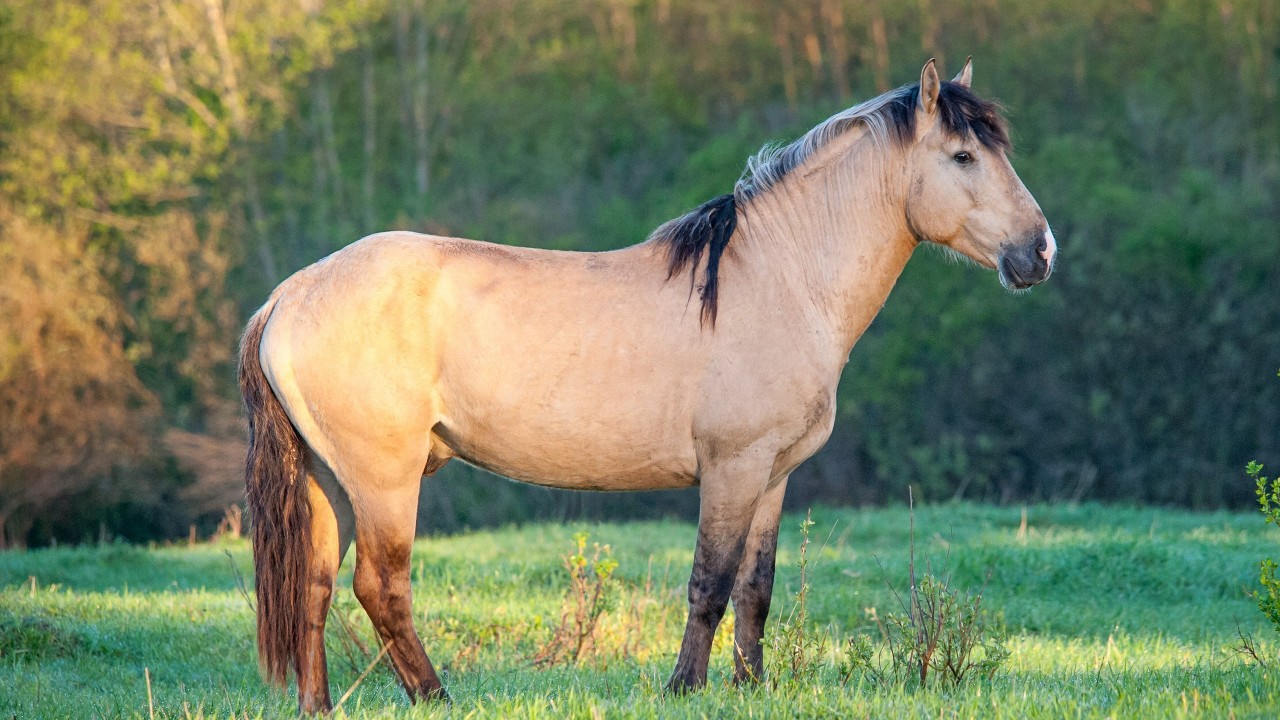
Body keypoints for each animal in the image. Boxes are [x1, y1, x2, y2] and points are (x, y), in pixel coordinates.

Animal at [238, 57, 1049, 712]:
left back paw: (319, 706)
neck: (780, 280)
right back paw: (437, 697)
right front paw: (684, 688)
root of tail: (289, 295)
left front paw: (750, 687)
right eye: (963, 155)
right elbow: (709, 584)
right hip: (383, 478)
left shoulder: (773, 475)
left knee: (312, 584)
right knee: (381, 587)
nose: (1039, 251)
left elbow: (755, 587)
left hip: (327, 478)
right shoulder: (731, 468)